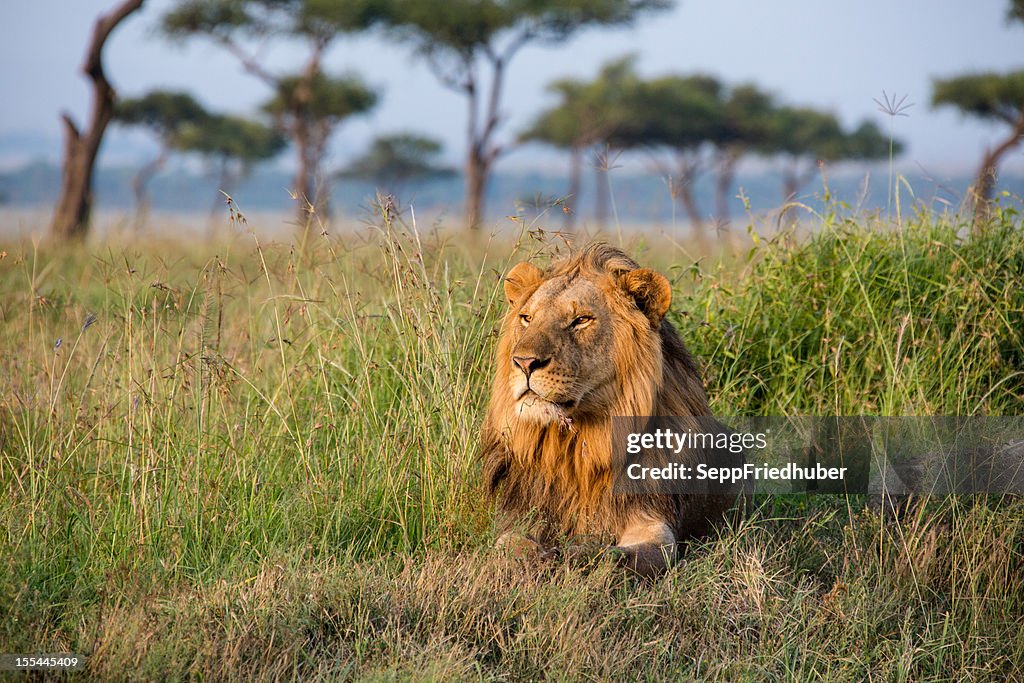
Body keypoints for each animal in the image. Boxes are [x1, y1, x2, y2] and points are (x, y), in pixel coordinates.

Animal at [479, 242, 745, 573]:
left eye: (581, 320)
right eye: (527, 318)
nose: (524, 362)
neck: (580, 447)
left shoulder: (653, 521)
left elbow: (620, 556)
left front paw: (579, 552)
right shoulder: (518, 517)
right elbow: (507, 547)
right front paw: (536, 560)